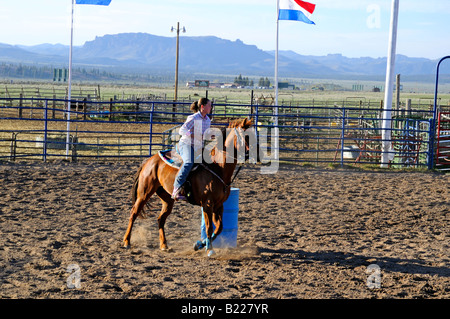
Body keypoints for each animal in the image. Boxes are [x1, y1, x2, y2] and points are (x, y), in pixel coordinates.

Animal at [123, 118, 255, 258]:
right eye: (246, 136)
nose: (258, 154)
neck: (217, 166)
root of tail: (149, 161)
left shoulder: (219, 204)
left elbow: (219, 228)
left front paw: (199, 244)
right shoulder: (207, 204)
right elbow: (209, 227)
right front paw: (209, 249)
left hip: (167, 199)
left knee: (160, 219)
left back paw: (164, 245)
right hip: (144, 193)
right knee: (134, 213)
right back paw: (126, 242)